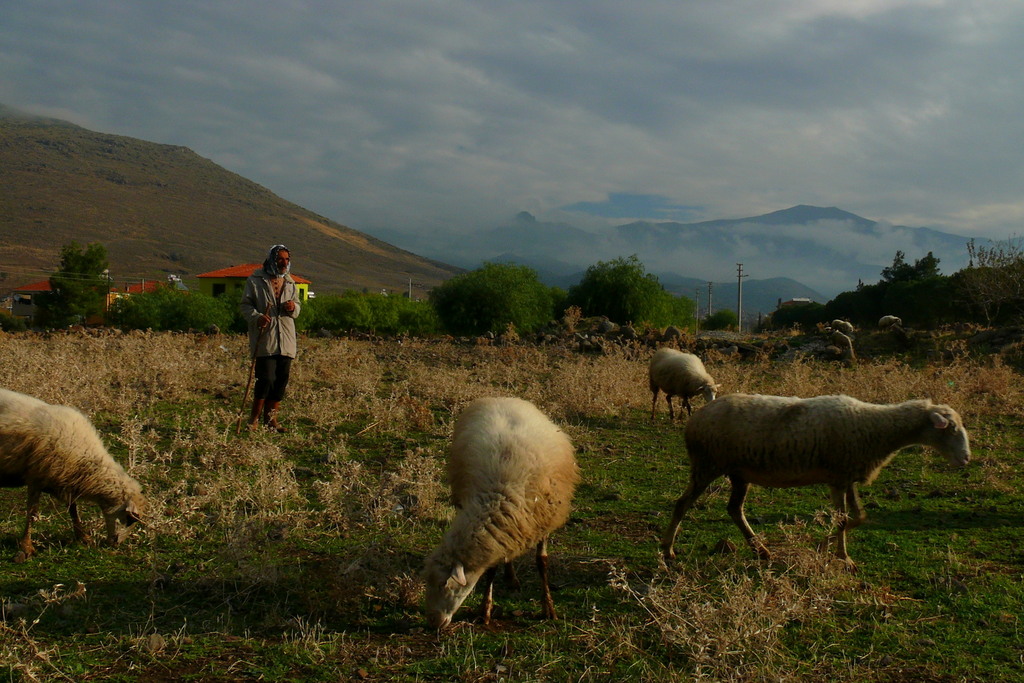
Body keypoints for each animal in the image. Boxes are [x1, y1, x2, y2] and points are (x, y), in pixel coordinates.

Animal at [0, 387, 146, 565]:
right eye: (130, 519)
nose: (116, 544)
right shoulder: (36, 478)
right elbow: (32, 514)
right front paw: (26, 548)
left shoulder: (63, 480)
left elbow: (73, 508)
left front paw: (83, 537)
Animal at [421, 395, 581, 630]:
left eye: (446, 585)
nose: (433, 622)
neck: (500, 495)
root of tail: (501, 397)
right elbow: (491, 569)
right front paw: (485, 610)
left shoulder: (544, 518)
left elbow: (541, 562)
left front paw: (548, 607)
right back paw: (511, 577)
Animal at [659, 393, 970, 569]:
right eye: (951, 428)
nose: (966, 459)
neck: (875, 426)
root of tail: (695, 418)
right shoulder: (838, 478)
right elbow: (842, 520)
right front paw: (838, 555)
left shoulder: (845, 476)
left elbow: (857, 517)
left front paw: (829, 549)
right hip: (706, 464)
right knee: (682, 504)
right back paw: (668, 550)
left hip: (739, 473)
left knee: (734, 509)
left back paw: (761, 551)